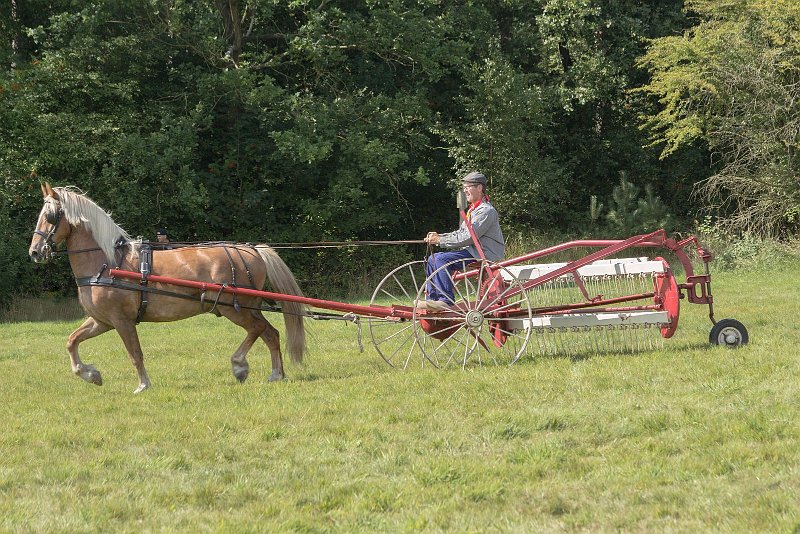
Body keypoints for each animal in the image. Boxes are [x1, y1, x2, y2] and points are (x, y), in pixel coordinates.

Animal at [28, 184, 306, 394]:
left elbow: (135, 353)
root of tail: (252, 250)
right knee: (270, 333)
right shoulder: (102, 320)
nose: (34, 252)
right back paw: (276, 373)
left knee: (259, 330)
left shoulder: (121, 320)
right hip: (247, 307)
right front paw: (91, 374)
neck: (107, 263)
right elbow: (71, 340)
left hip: (234, 308)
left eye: (50, 216)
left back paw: (241, 366)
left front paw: (143, 385)